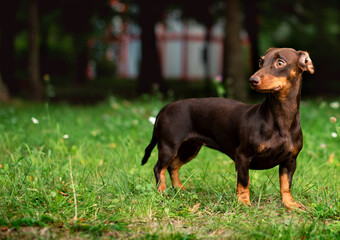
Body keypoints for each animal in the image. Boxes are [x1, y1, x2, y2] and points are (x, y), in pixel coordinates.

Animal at [140, 47, 314, 209]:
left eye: (280, 63)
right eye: (261, 62)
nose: (252, 80)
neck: (281, 120)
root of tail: (166, 107)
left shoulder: (290, 161)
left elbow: (286, 184)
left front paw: (289, 203)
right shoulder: (242, 156)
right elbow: (244, 182)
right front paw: (243, 202)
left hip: (189, 148)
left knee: (173, 166)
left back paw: (179, 190)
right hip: (168, 146)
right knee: (159, 168)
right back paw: (162, 191)